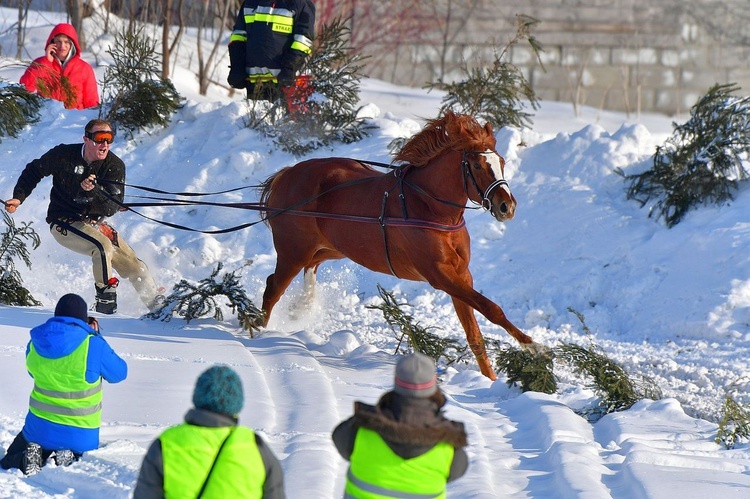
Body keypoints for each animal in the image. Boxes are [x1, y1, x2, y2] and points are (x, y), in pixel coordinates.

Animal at [258, 112, 540, 378]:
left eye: (501, 162)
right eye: (478, 165)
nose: (507, 206)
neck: (429, 207)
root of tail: (286, 174)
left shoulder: (461, 275)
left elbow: (474, 334)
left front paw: (491, 378)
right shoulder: (440, 275)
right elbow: (491, 308)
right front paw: (533, 347)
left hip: (331, 248)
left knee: (310, 268)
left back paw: (302, 307)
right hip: (293, 253)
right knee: (272, 289)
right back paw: (259, 332)